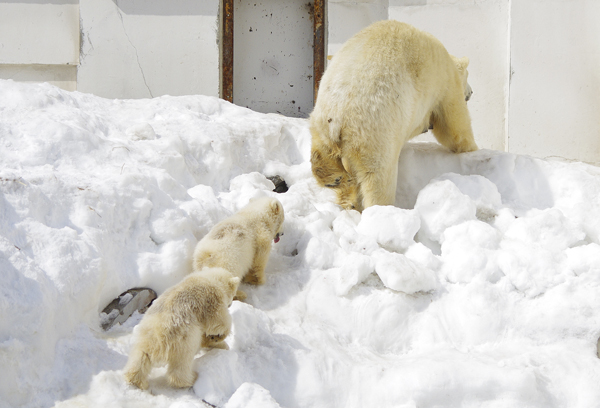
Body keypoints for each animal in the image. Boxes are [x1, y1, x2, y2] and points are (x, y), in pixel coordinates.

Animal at [310, 19, 478, 212]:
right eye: (468, 76)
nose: (471, 92)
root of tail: (337, 116)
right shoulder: (444, 83)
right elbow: (454, 126)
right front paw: (471, 148)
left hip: (321, 122)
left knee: (322, 153)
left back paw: (337, 181)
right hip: (375, 132)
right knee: (379, 179)